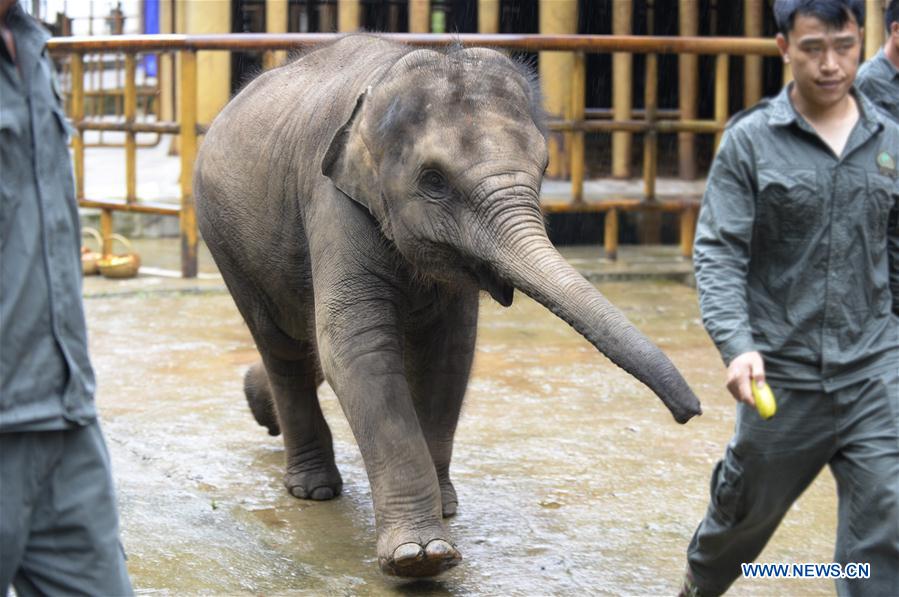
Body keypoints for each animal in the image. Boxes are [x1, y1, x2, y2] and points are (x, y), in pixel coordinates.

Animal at [195, 35, 702, 578]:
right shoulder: (332, 200)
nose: (691, 411)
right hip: (226, 240)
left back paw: (259, 405)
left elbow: (449, 355)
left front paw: (445, 511)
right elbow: (357, 349)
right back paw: (313, 490)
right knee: (281, 346)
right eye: (434, 180)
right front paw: (421, 557)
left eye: (545, 169)